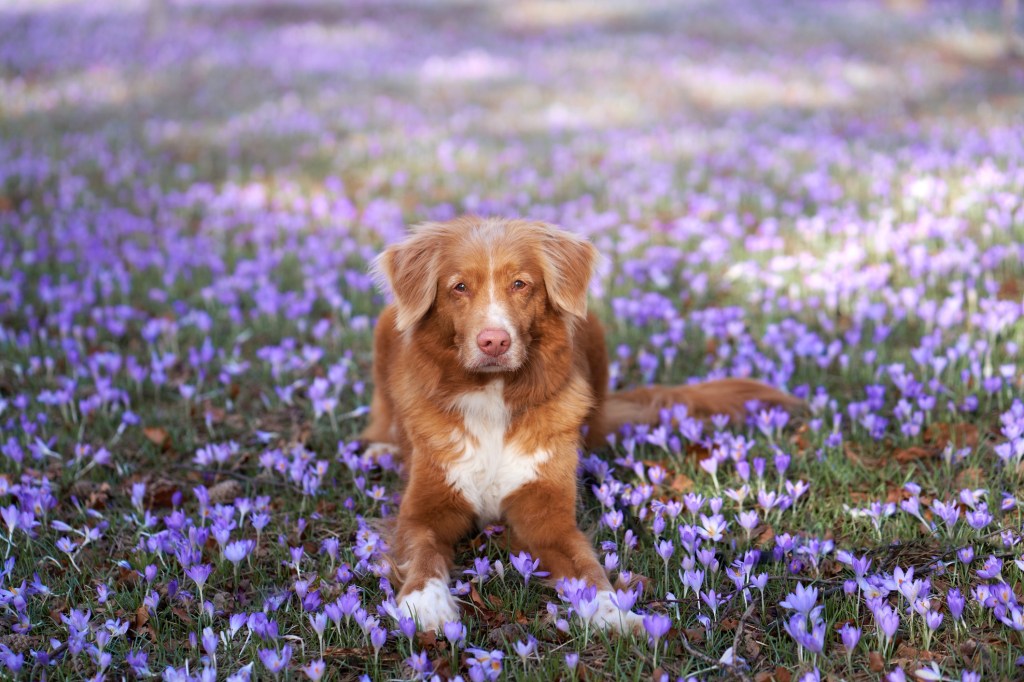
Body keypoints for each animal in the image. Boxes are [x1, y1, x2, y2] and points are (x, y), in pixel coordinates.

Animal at [360, 215, 798, 630]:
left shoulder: (548, 519)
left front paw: (611, 612)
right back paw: (381, 447)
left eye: (520, 284)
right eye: (459, 287)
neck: (493, 397)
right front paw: (426, 604)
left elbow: (588, 569)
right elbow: (424, 554)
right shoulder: (424, 512)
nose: (494, 341)